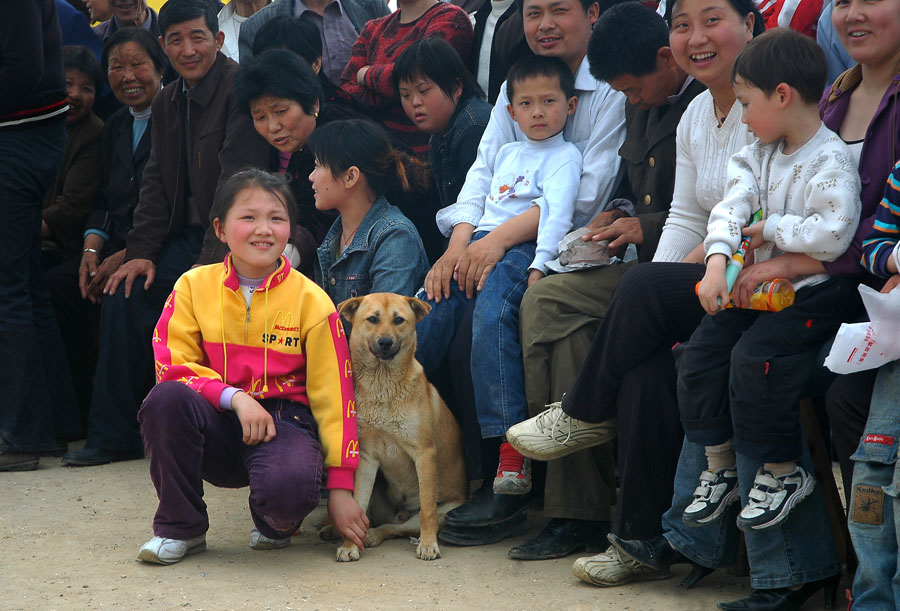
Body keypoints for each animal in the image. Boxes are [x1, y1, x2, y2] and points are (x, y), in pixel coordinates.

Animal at [332, 294, 472, 560]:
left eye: (399, 320)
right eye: (372, 319)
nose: (386, 342)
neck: (382, 385)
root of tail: (401, 510)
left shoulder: (424, 453)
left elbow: (427, 508)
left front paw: (428, 544)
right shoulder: (366, 458)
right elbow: (357, 504)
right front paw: (349, 544)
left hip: (446, 511)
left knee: (396, 526)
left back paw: (375, 535)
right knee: (378, 520)